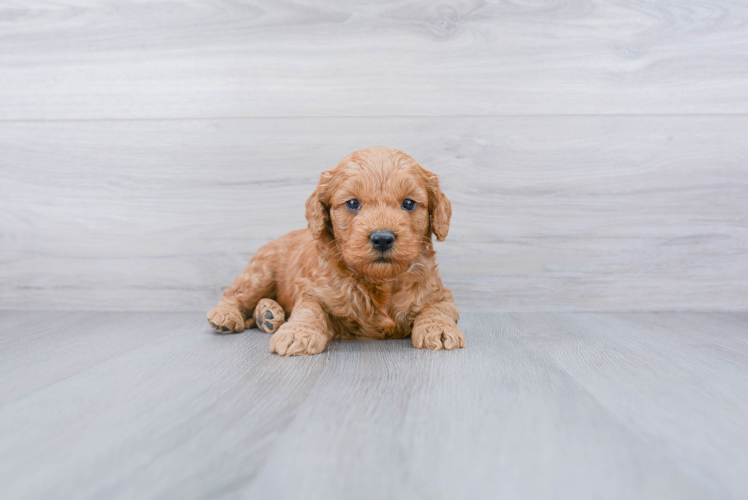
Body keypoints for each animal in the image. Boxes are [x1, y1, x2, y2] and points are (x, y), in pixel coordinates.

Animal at [205, 146, 462, 356]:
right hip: (260, 273)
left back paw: (267, 314)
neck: (378, 283)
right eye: (352, 203)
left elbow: (437, 309)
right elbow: (309, 310)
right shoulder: (313, 290)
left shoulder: (438, 293)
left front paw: (439, 329)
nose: (382, 239)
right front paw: (298, 332)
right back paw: (227, 316)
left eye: (408, 203)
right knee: (235, 295)